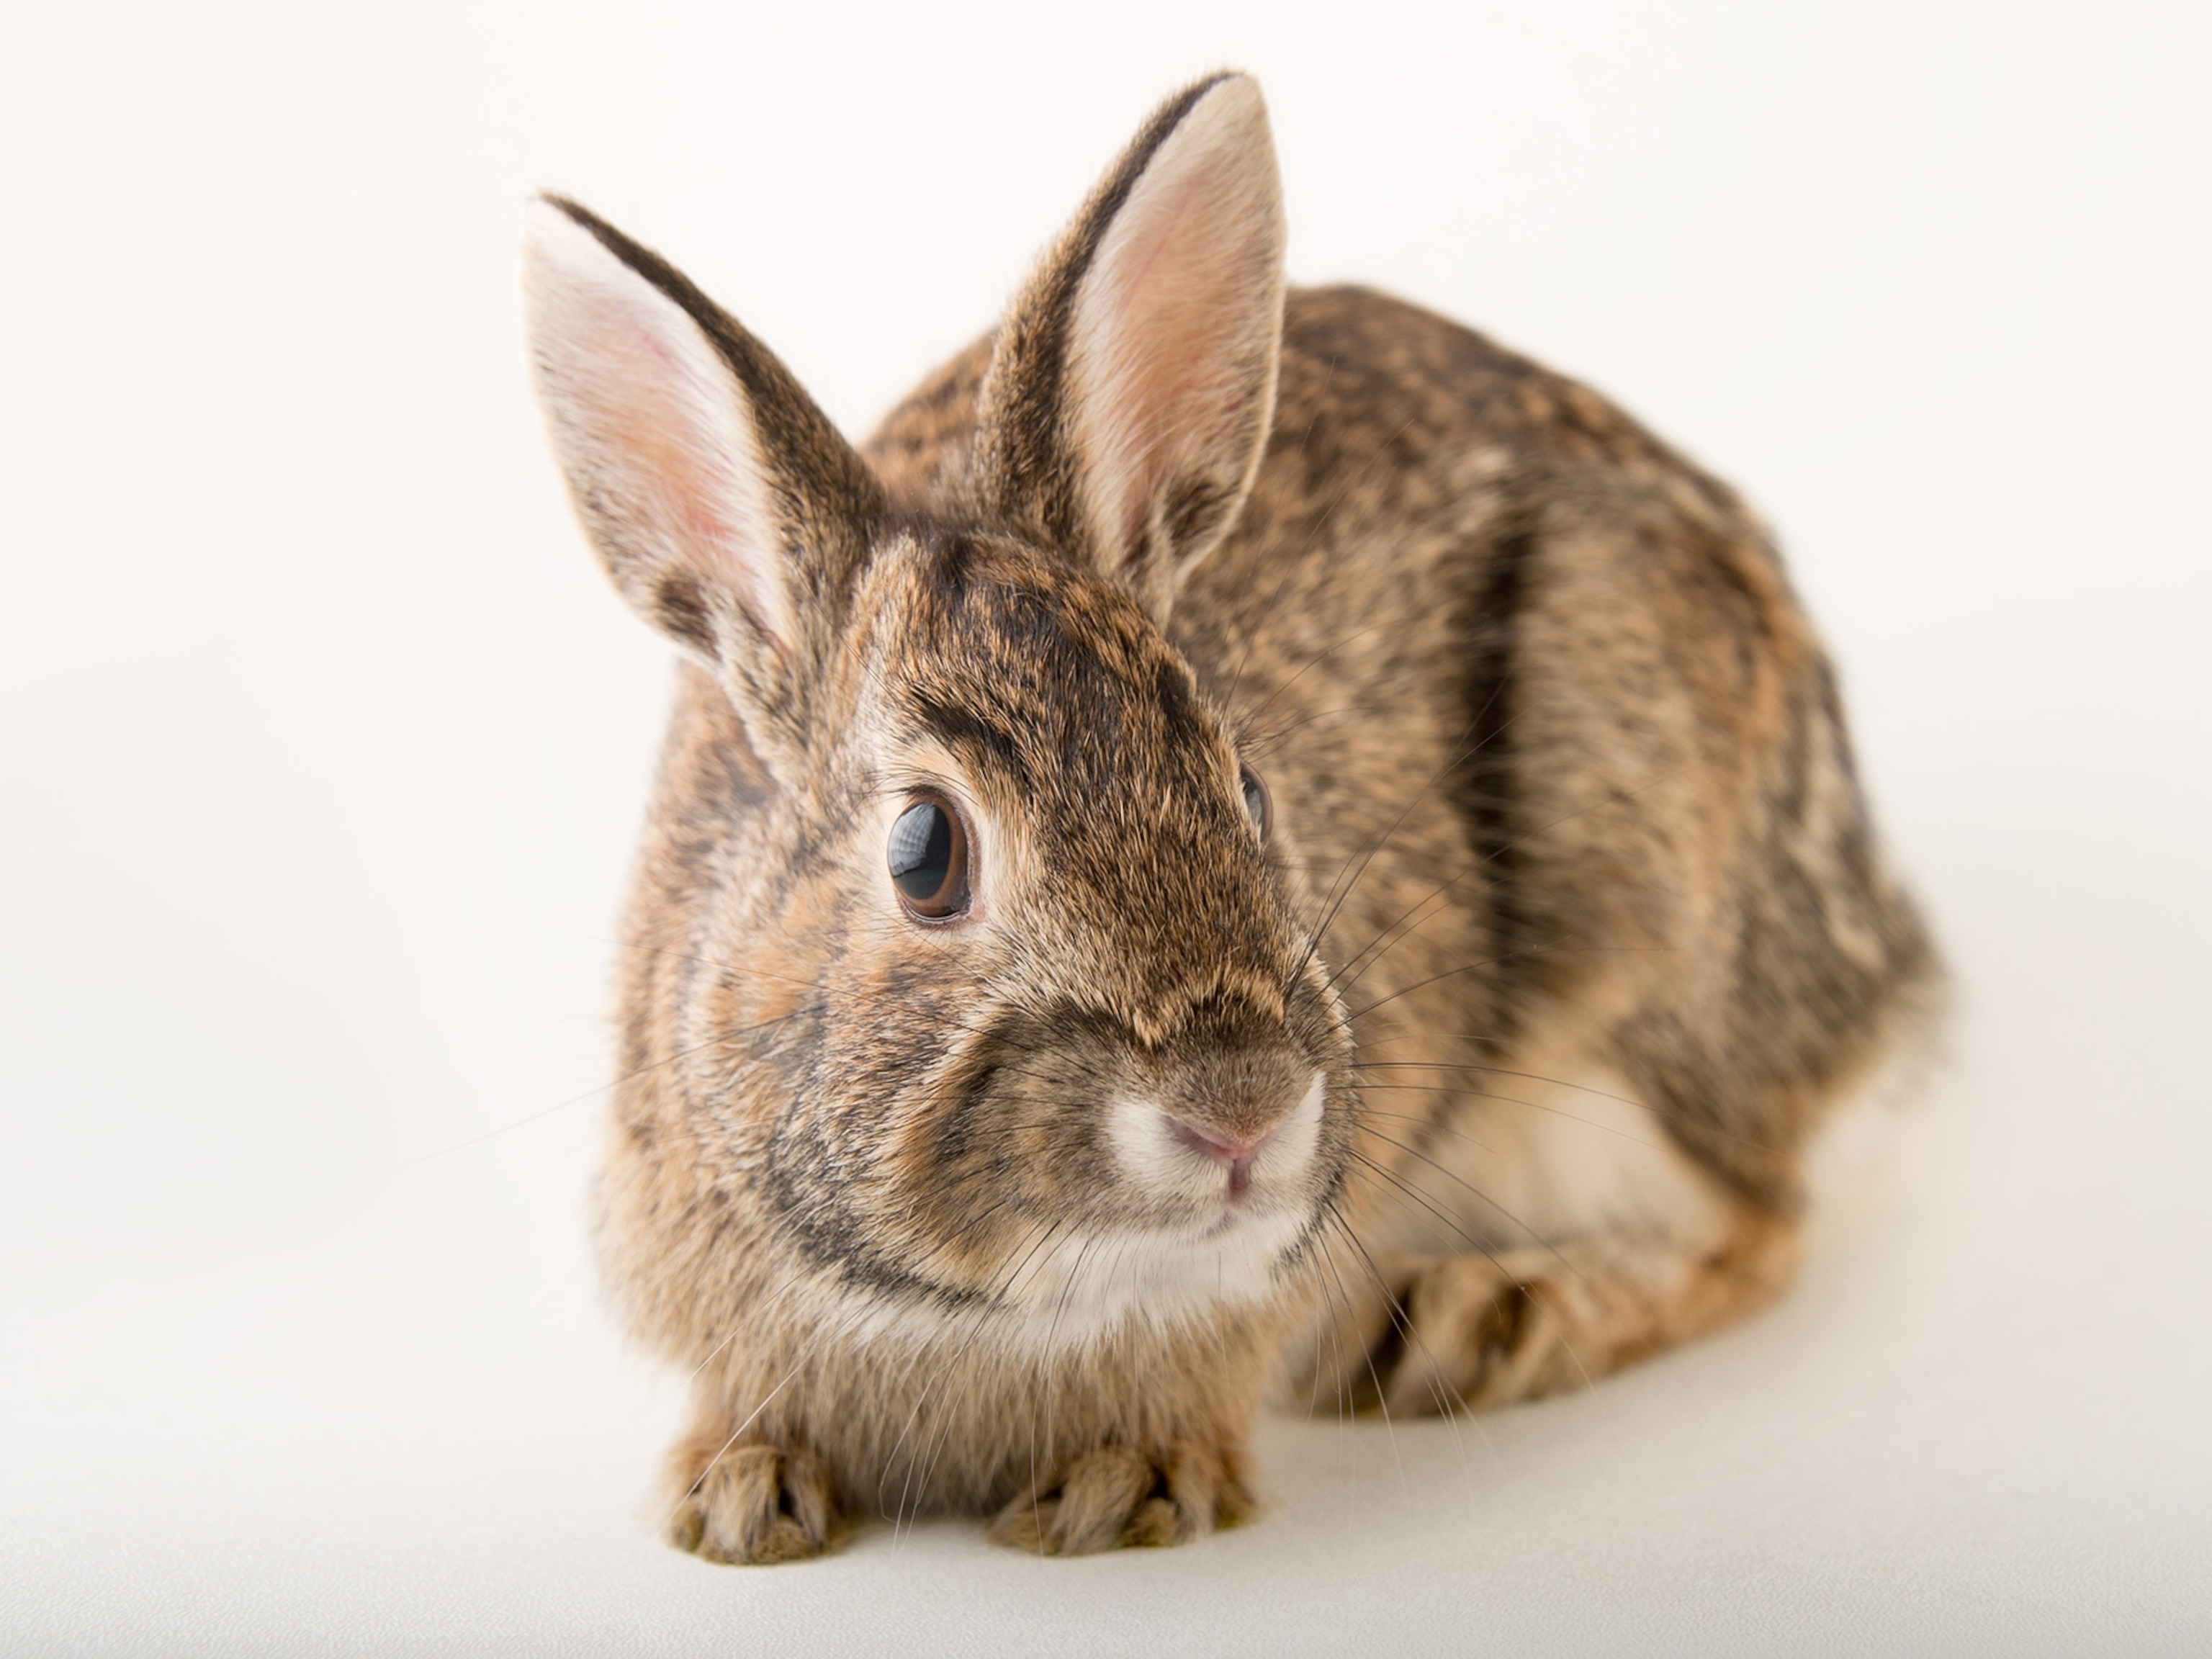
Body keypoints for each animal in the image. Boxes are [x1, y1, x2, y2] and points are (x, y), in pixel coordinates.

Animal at [521, 70, 1938, 1564]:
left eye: (1247, 785)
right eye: (924, 852)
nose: (1242, 1111)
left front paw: (1124, 1484)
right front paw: (734, 1492)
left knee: (1757, 1223)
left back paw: (1482, 1317)